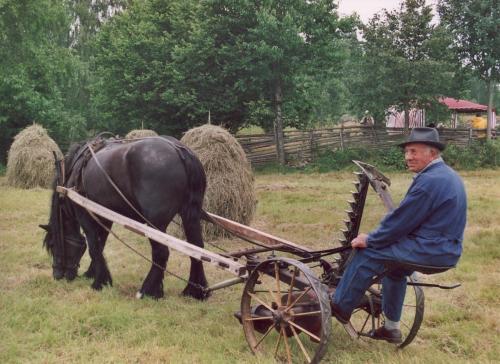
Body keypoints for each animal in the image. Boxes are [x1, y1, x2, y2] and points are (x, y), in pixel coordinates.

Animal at [40, 135, 209, 300]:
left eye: (53, 245)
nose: (57, 275)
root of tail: (180, 150)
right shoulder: (104, 216)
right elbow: (100, 245)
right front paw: (93, 274)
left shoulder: (84, 213)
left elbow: (94, 246)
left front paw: (99, 282)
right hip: (190, 215)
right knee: (196, 248)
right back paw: (195, 291)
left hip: (155, 223)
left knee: (161, 253)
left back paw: (147, 291)